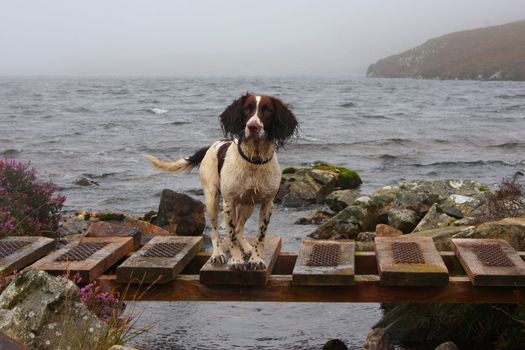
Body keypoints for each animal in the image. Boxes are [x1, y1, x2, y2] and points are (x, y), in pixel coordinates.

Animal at [145, 93, 296, 270]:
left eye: (268, 110)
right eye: (247, 109)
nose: (252, 127)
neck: (254, 161)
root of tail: (211, 146)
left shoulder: (267, 203)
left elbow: (260, 235)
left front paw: (256, 258)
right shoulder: (229, 201)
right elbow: (230, 235)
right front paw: (237, 260)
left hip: (248, 205)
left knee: (239, 229)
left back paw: (247, 248)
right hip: (212, 199)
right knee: (215, 231)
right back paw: (218, 254)